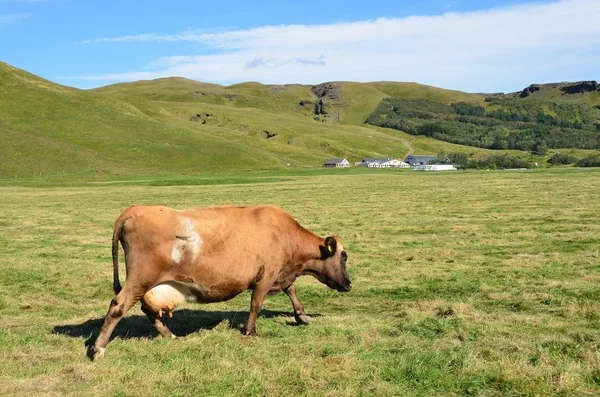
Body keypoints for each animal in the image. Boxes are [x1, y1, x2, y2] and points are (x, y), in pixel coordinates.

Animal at [89, 204, 352, 358]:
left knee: (149, 310)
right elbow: (256, 304)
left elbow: (291, 289)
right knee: (118, 306)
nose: (349, 284)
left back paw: (168, 335)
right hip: (141, 277)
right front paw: (251, 331)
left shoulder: (280, 274)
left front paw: (301, 315)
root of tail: (135, 210)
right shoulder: (266, 275)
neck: (285, 234)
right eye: (344, 256)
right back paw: (99, 348)